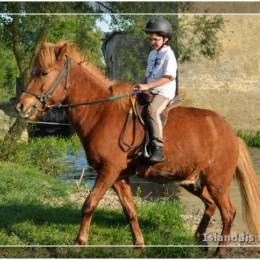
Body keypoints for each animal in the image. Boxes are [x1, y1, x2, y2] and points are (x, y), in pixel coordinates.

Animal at [16, 41, 260, 256]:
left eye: (43, 73)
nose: (21, 105)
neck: (102, 113)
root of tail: (231, 133)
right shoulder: (118, 177)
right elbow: (130, 211)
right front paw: (139, 245)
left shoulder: (108, 172)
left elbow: (89, 204)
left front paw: (79, 243)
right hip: (193, 180)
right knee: (210, 205)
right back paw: (200, 241)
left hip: (217, 182)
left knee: (228, 213)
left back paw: (220, 251)